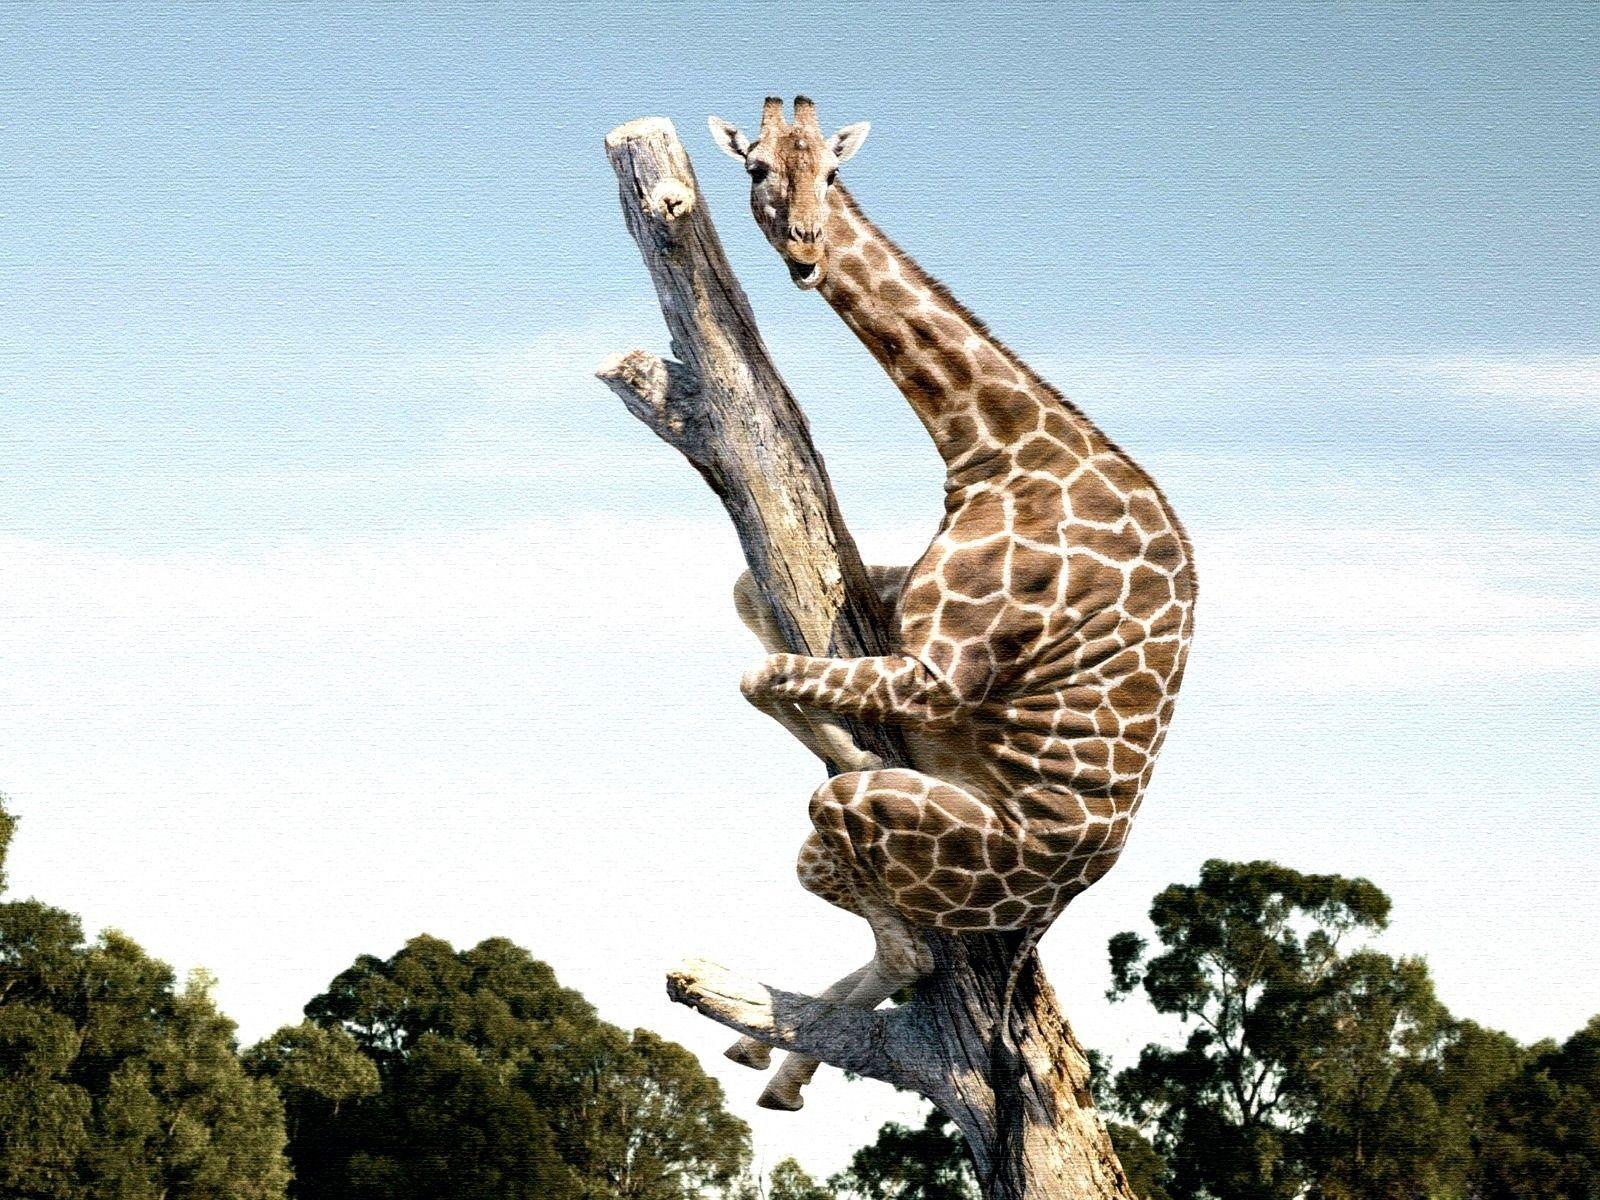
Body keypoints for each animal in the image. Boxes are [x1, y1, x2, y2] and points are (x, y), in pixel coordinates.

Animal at [708, 97, 1197, 1111]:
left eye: (833, 174)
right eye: (758, 167)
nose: (807, 251)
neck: (996, 446)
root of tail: (1058, 899)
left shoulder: (939, 673)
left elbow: (760, 675)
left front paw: (851, 741)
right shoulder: (894, 614)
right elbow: (749, 610)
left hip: (888, 830)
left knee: (905, 944)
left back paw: (780, 1060)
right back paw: (770, 1061)